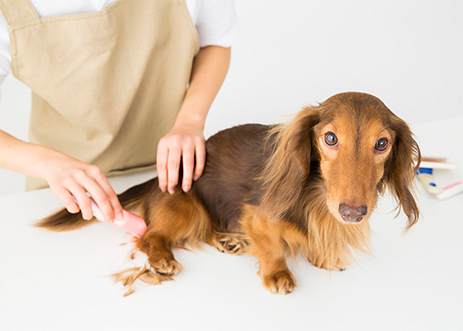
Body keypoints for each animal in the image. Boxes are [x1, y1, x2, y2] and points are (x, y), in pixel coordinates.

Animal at [38, 92, 422, 296]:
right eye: (330, 138)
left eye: (382, 144)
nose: (353, 213)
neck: (315, 195)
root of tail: (158, 177)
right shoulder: (257, 214)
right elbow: (272, 245)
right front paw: (277, 273)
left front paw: (323, 255)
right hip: (183, 205)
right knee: (150, 234)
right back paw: (163, 257)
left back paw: (229, 241)